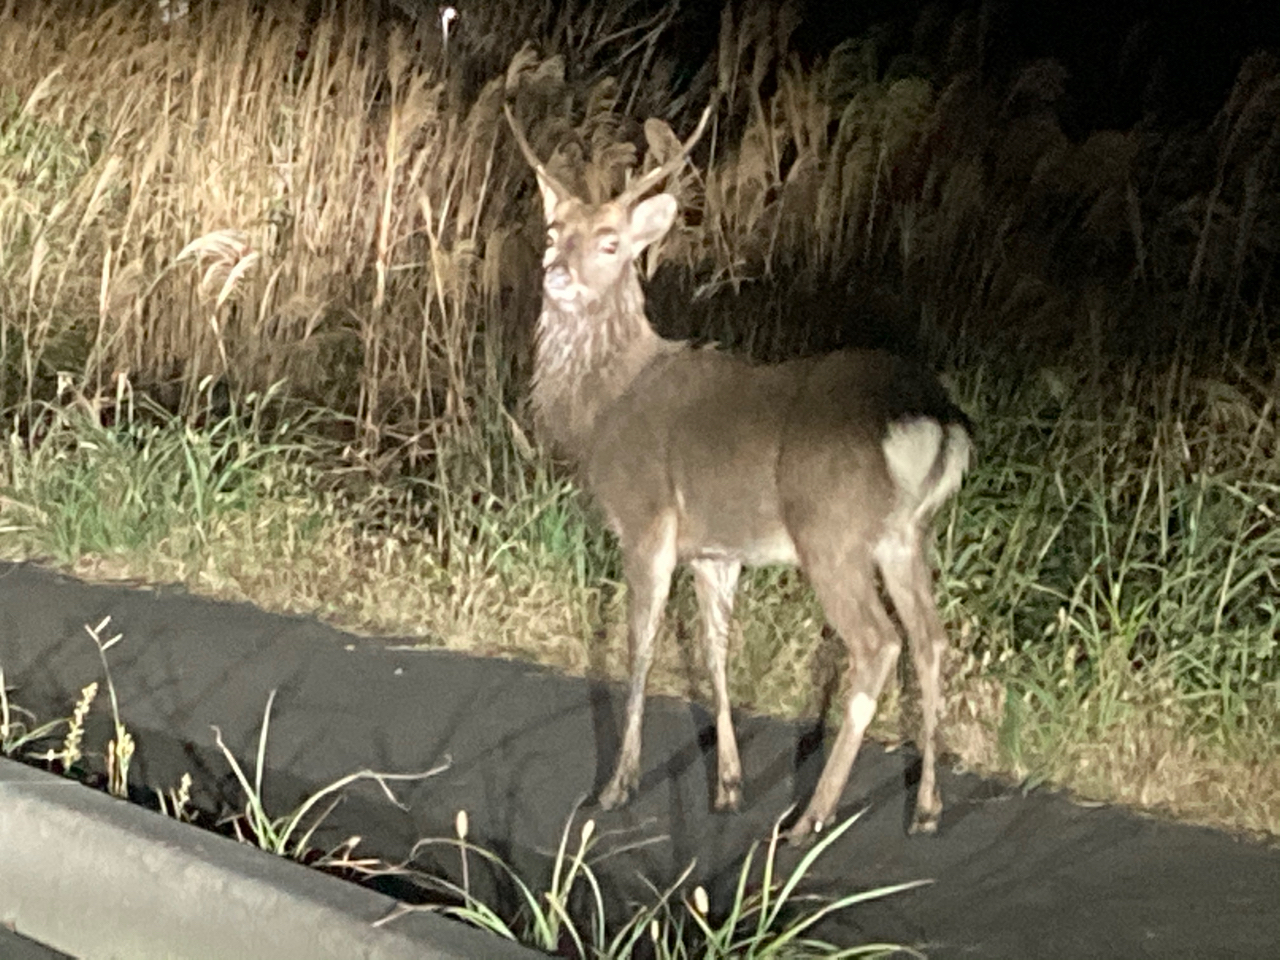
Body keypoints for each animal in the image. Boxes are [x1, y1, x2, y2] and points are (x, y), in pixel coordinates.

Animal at [504, 101, 962, 844]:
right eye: (554, 231)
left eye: (610, 242)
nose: (557, 275)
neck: (605, 406)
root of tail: (937, 417)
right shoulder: (716, 549)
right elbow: (716, 653)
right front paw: (727, 785)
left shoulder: (647, 519)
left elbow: (640, 648)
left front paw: (616, 786)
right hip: (903, 534)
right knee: (930, 638)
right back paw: (924, 808)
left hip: (830, 529)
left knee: (878, 644)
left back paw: (811, 816)